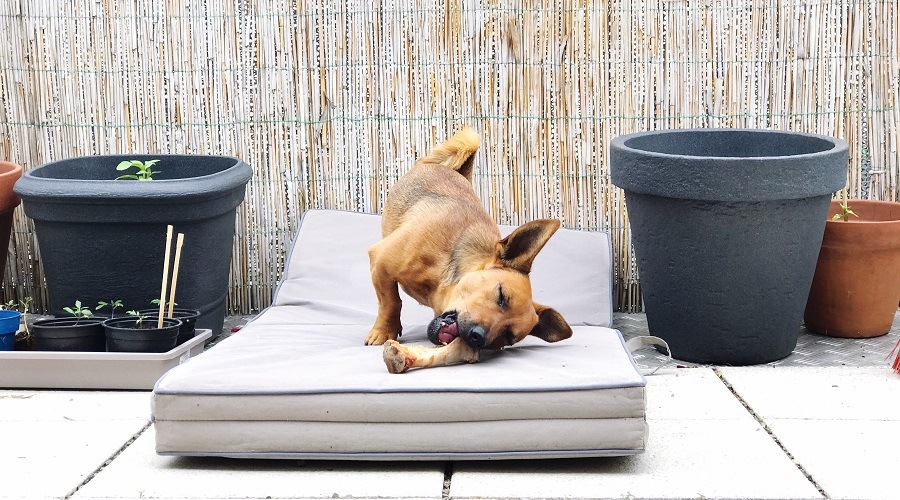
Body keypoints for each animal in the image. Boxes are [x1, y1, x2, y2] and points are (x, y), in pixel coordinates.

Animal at [364, 127, 568, 370]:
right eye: (501, 295)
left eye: (508, 336)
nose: (477, 336)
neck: (439, 282)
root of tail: (454, 172)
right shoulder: (380, 263)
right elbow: (391, 302)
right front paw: (384, 330)